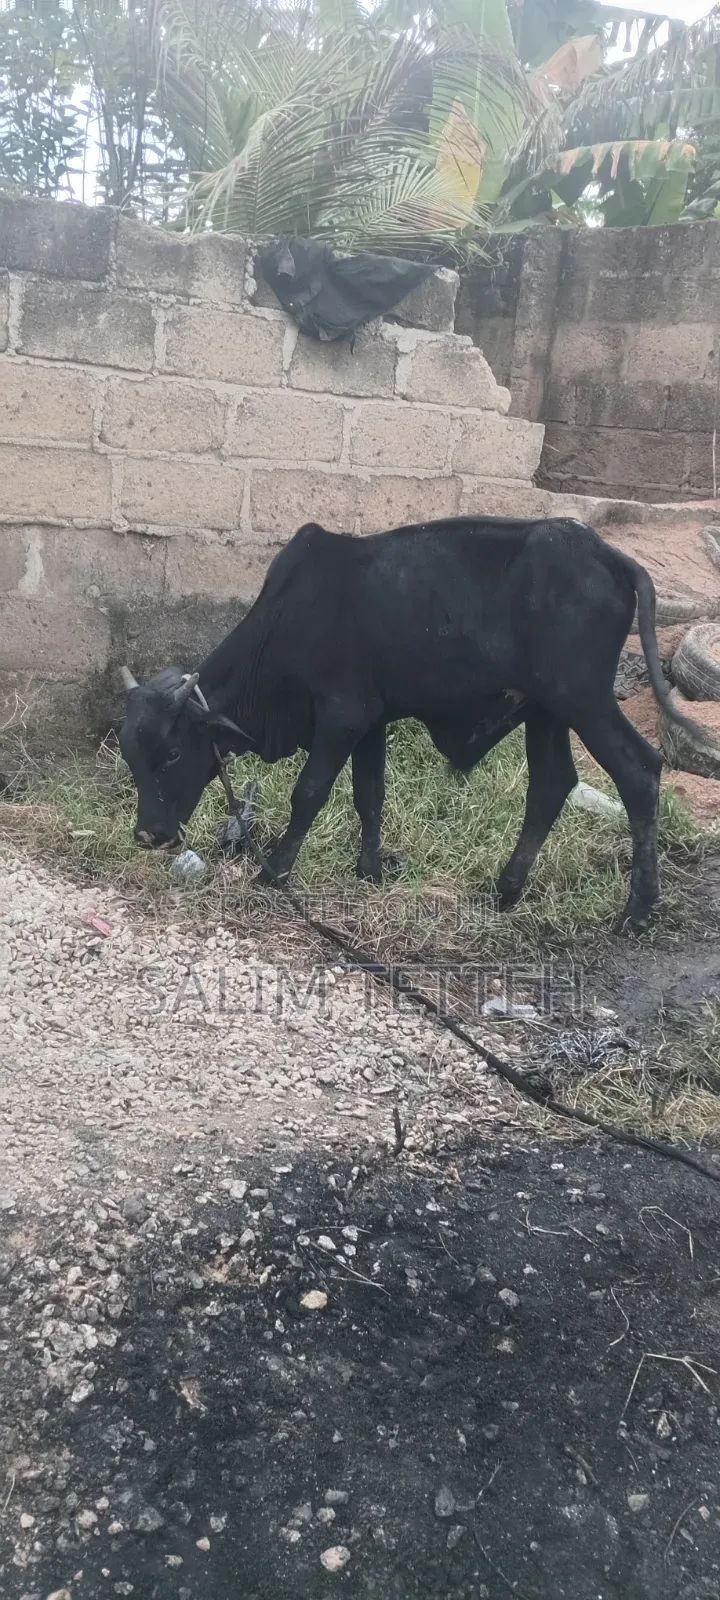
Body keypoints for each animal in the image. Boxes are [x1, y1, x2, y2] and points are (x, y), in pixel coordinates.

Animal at [117, 515, 702, 932]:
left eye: (172, 753)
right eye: (130, 754)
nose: (148, 835)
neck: (290, 618)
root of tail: (610, 556)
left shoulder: (341, 716)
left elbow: (309, 792)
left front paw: (275, 868)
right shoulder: (370, 722)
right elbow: (368, 795)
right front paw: (370, 871)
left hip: (583, 701)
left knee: (639, 772)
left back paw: (637, 911)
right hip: (546, 712)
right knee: (551, 784)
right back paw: (507, 890)